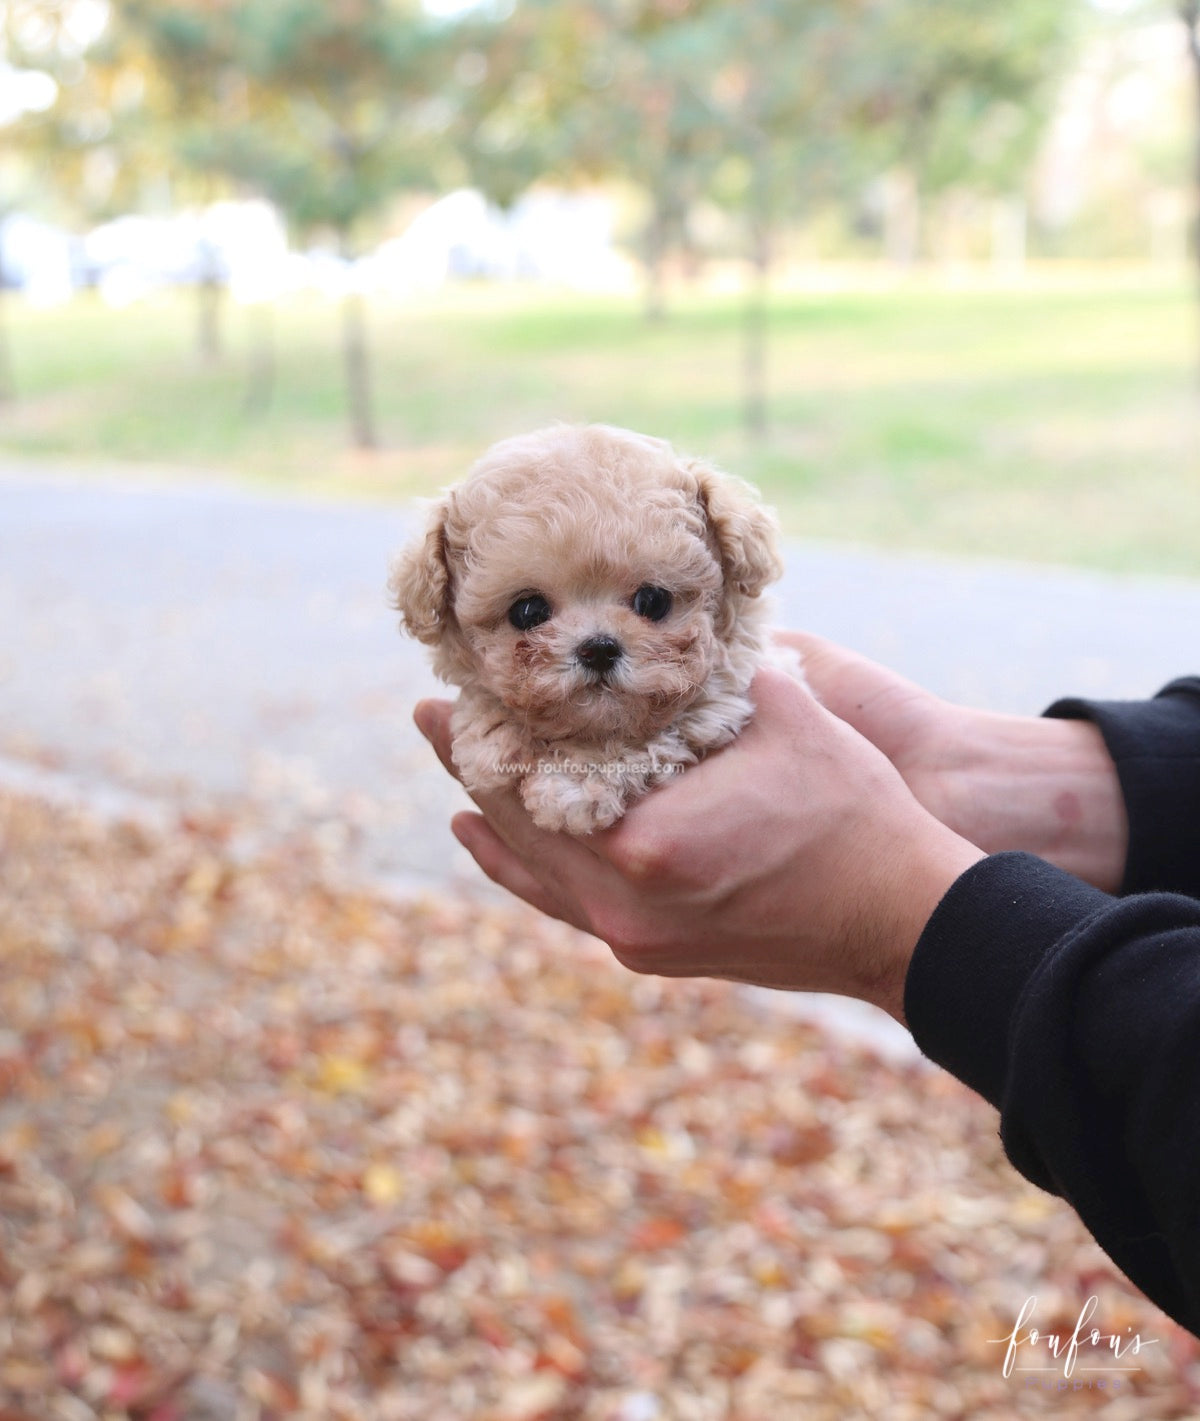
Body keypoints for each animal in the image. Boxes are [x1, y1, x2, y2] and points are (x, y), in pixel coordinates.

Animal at [389, 420, 790, 829]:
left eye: (653, 601)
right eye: (528, 612)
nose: (599, 649)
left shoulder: (724, 695)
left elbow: (653, 733)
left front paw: (573, 785)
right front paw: (493, 736)